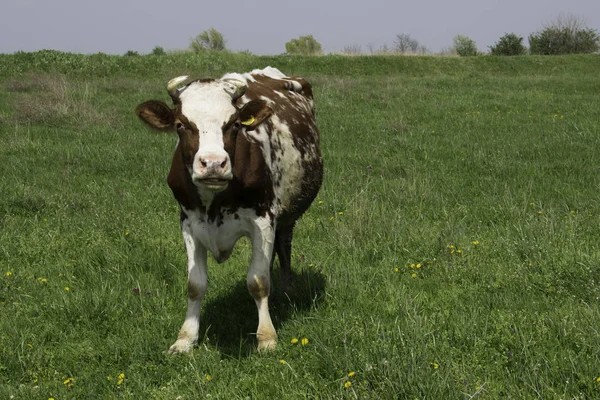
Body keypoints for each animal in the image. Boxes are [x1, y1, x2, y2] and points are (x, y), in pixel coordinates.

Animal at [136, 66, 324, 354]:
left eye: (234, 124)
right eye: (181, 125)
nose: (213, 163)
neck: (214, 202)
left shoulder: (263, 219)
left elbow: (258, 281)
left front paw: (266, 336)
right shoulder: (189, 222)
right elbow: (195, 285)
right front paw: (185, 338)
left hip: (288, 213)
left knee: (284, 244)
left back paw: (286, 288)